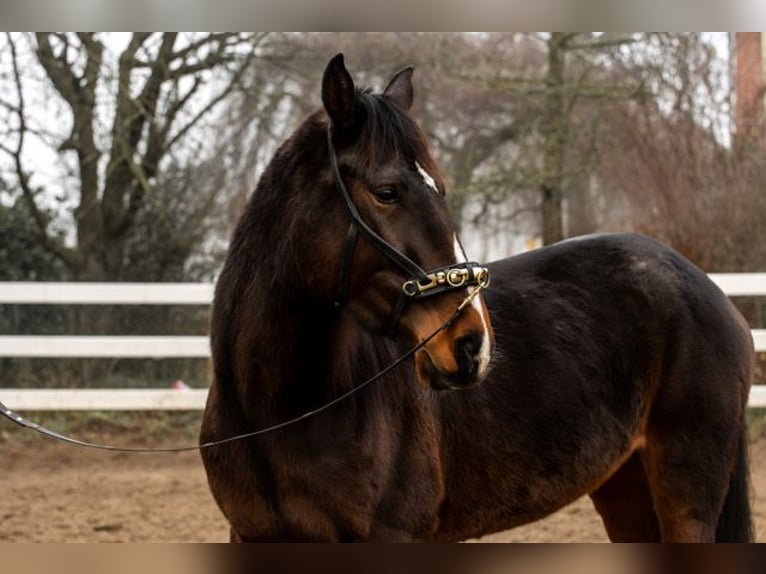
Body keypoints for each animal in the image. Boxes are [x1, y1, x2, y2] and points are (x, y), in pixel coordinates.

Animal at [200, 54, 756, 544]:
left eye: (441, 189)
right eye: (387, 192)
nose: (472, 344)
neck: (284, 413)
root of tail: (707, 288)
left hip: (686, 487)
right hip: (625, 484)